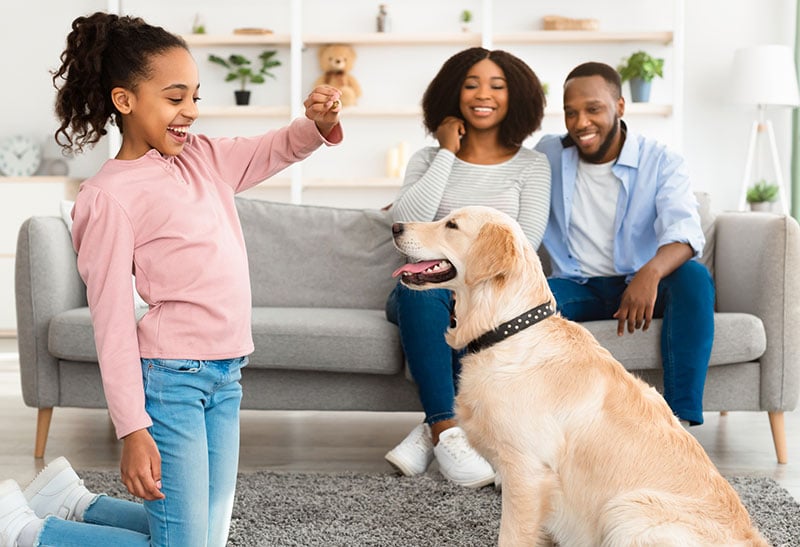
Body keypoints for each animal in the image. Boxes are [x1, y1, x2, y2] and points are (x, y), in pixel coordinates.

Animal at [394, 207, 768, 547]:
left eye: (451, 225)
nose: (396, 226)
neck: (507, 329)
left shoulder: (527, 472)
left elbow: (511, 536)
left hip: (626, 508)